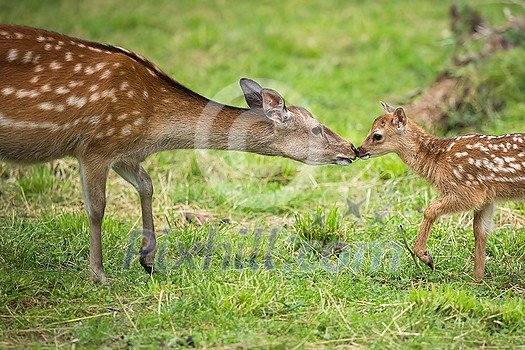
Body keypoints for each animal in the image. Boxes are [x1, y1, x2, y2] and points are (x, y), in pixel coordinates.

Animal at [0, 24, 356, 284]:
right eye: (316, 128)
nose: (350, 149)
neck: (152, 127)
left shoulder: (124, 151)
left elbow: (147, 185)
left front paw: (148, 259)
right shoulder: (95, 145)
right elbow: (97, 207)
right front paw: (99, 275)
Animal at [356, 101, 524, 278]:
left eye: (377, 135)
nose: (358, 150)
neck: (439, 159)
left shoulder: (469, 191)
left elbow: (430, 209)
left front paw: (426, 257)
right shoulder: (487, 198)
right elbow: (480, 231)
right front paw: (476, 279)